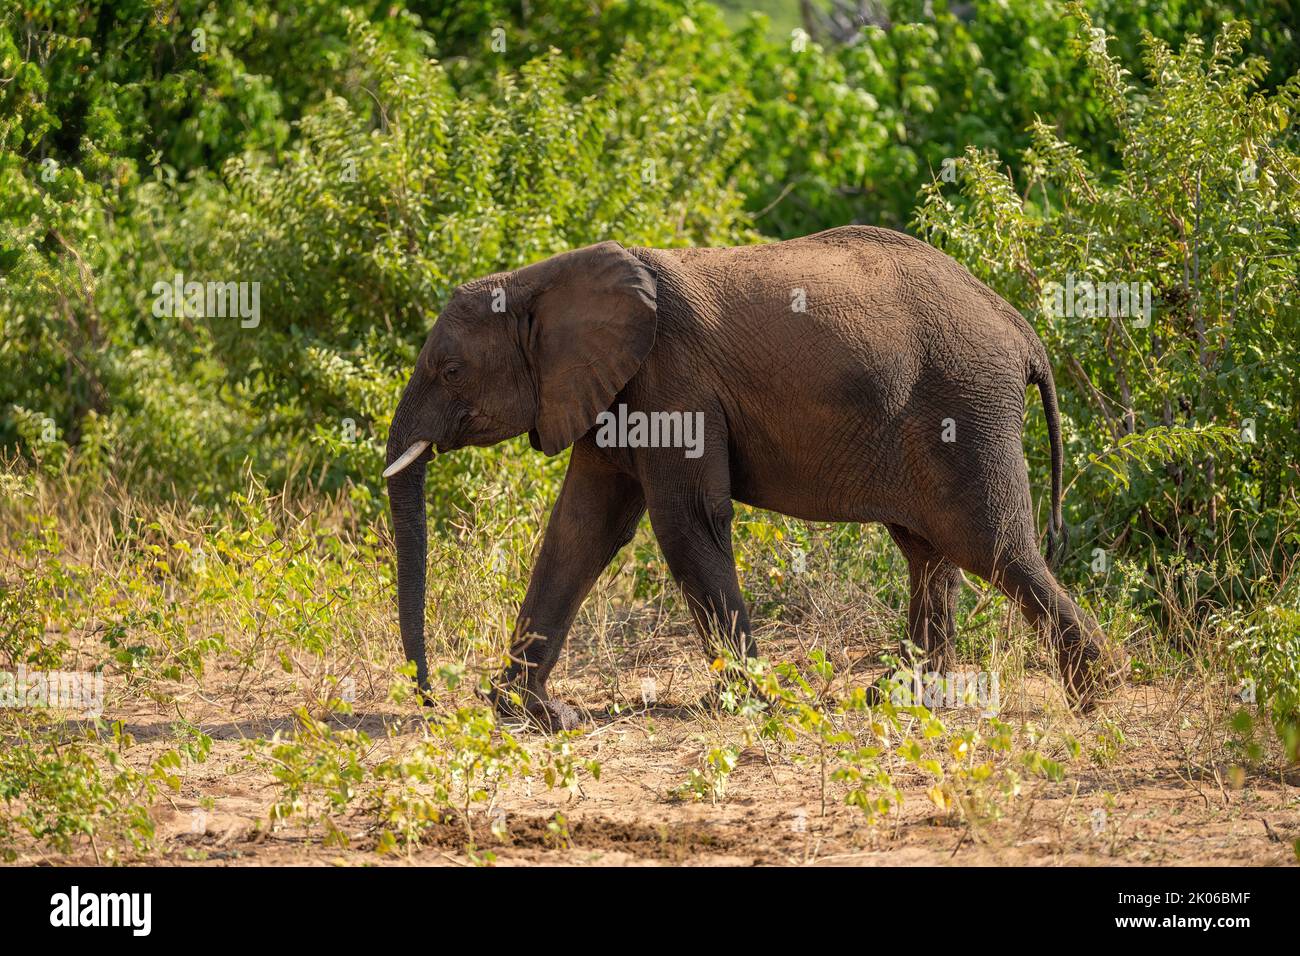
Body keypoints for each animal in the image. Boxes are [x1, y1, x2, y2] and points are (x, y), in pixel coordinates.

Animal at [384, 226, 1120, 730]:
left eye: (450, 369)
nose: (429, 698)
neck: (542, 278)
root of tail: (1021, 328)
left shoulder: (670, 379)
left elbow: (684, 522)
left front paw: (752, 702)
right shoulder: (607, 389)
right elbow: (579, 533)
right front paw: (532, 715)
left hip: (966, 407)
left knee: (995, 549)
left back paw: (1100, 692)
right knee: (930, 554)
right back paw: (903, 700)